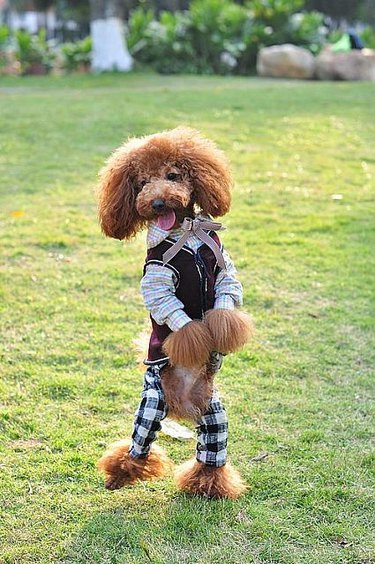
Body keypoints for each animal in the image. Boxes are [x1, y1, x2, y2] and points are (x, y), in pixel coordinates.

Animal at [97, 126, 254, 498]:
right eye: (141, 183)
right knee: (139, 443)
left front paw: (219, 332)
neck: (188, 235)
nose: (156, 203)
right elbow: (175, 313)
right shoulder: (157, 280)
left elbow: (226, 302)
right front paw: (195, 337)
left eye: (172, 176)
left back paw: (208, 485)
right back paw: (117, 476)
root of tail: (182, 405)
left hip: (213, 412)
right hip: (153, 401)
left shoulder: (225, 271)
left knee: (211, 448)